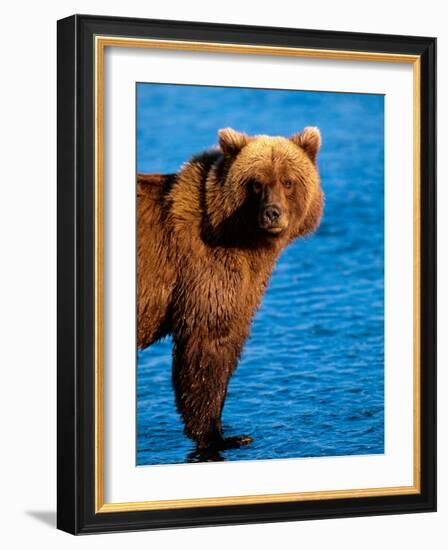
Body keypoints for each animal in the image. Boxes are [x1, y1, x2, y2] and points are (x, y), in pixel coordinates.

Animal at [136, 128, 322, 452]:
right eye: (256, 183)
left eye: (287, 181)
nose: (272, 213)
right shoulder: (204, 272)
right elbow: (208, 346)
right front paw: (221, 436)